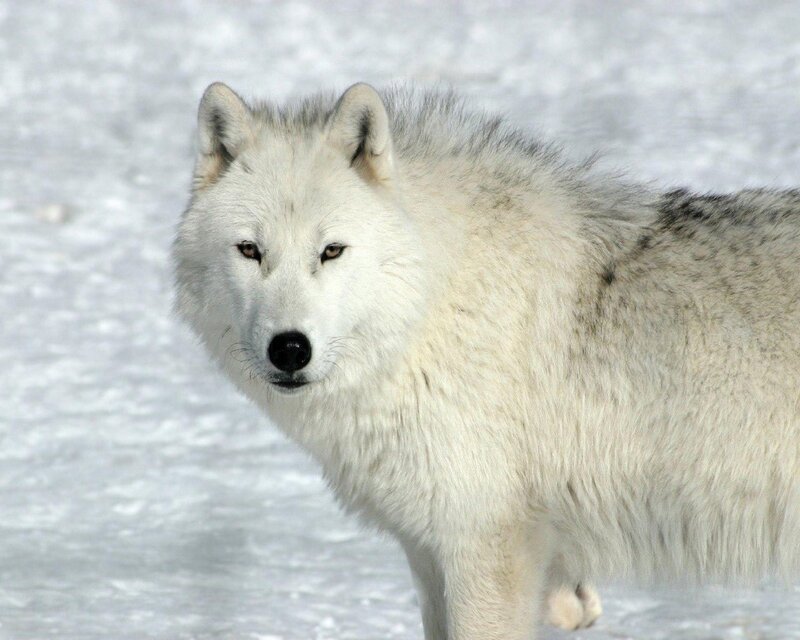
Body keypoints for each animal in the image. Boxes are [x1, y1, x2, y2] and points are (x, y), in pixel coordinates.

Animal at [173, 81, 800, 639]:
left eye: (331, 251)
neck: (433, 304)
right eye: (250, 250)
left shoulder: (485, 548)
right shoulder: (429, 555)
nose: (289, 348)